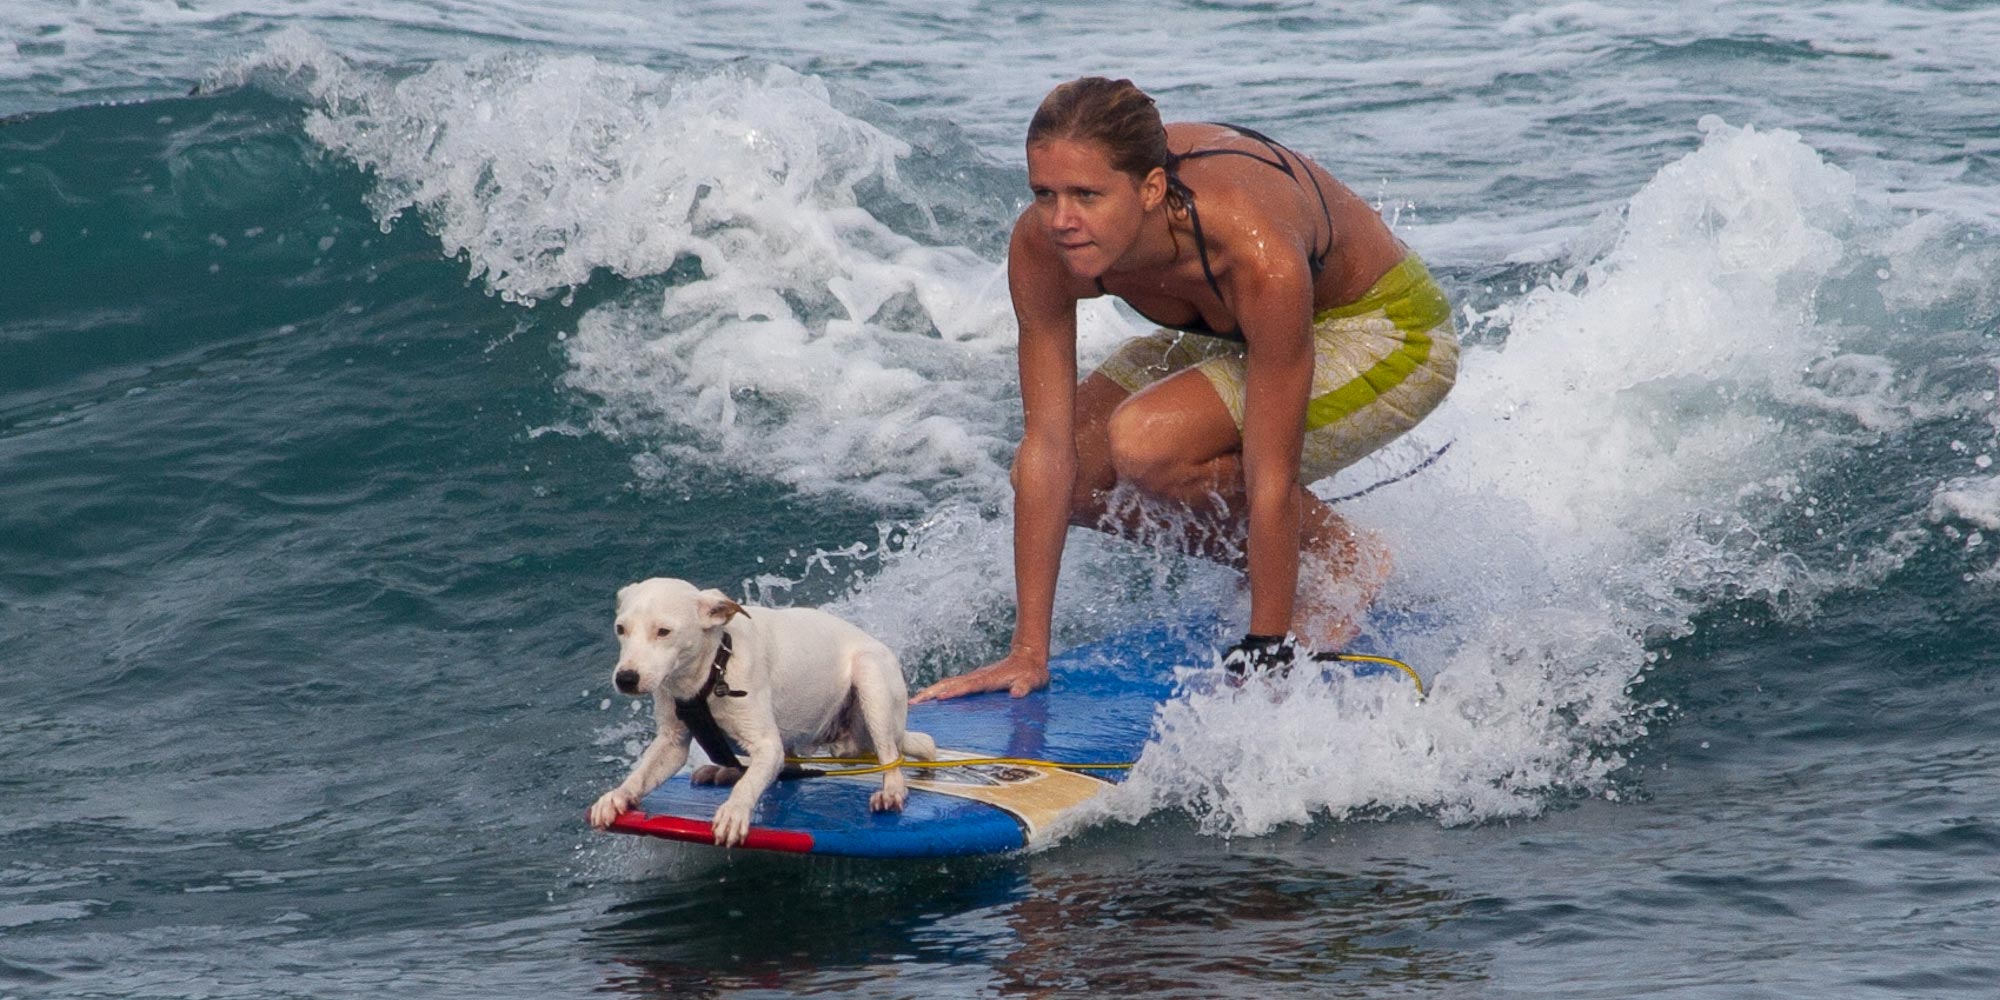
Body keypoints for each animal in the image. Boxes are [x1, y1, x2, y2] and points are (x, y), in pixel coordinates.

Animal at [584, 580, 932, 844]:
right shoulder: (672, 742)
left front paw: (734, 812)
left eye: (664, 631)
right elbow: (641, 774)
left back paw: (892, 790)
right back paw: (723, 771)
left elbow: (749, 784)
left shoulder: (767, 745)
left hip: (870, 684)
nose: (626, 678)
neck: (711, 672)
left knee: (892, 755)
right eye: (620, 629)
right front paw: (617, 796)